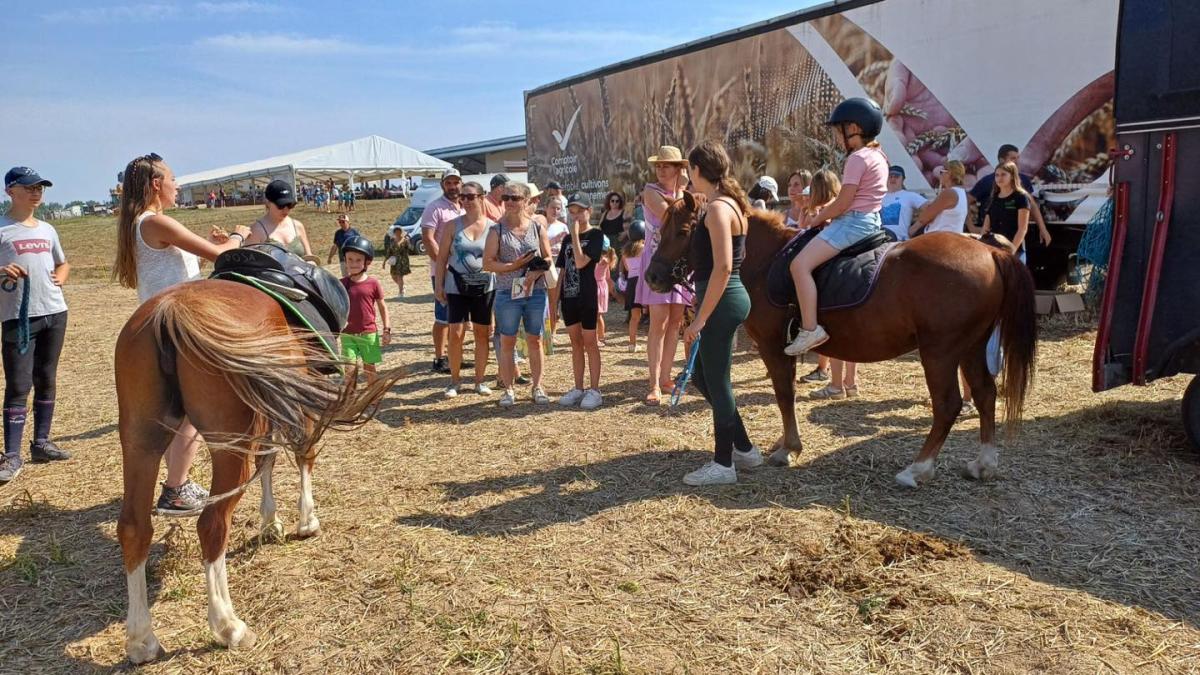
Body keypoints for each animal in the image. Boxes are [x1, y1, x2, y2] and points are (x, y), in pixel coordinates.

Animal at [114, 279, 393, 662]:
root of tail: (170, 311)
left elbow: (268, 462)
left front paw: (270, 521)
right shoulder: (298, 408)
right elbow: (303, 456)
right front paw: (306, 521)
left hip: (140, 441)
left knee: (134, 528)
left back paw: (141, 640)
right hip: (228, 447)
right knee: (212, 524)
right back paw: (228, 626)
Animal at [648, 192, 1041, 485]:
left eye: (684, 230)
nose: (652, 277)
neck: (766, 261)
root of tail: (991, 251)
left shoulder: (774, 348)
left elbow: (784, 395)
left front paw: (788, 448)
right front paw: (783, 444)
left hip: (940, 353)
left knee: (948, 405)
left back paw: (918, 469)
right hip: (970, 348)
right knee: (986, 395)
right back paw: (983, 463)